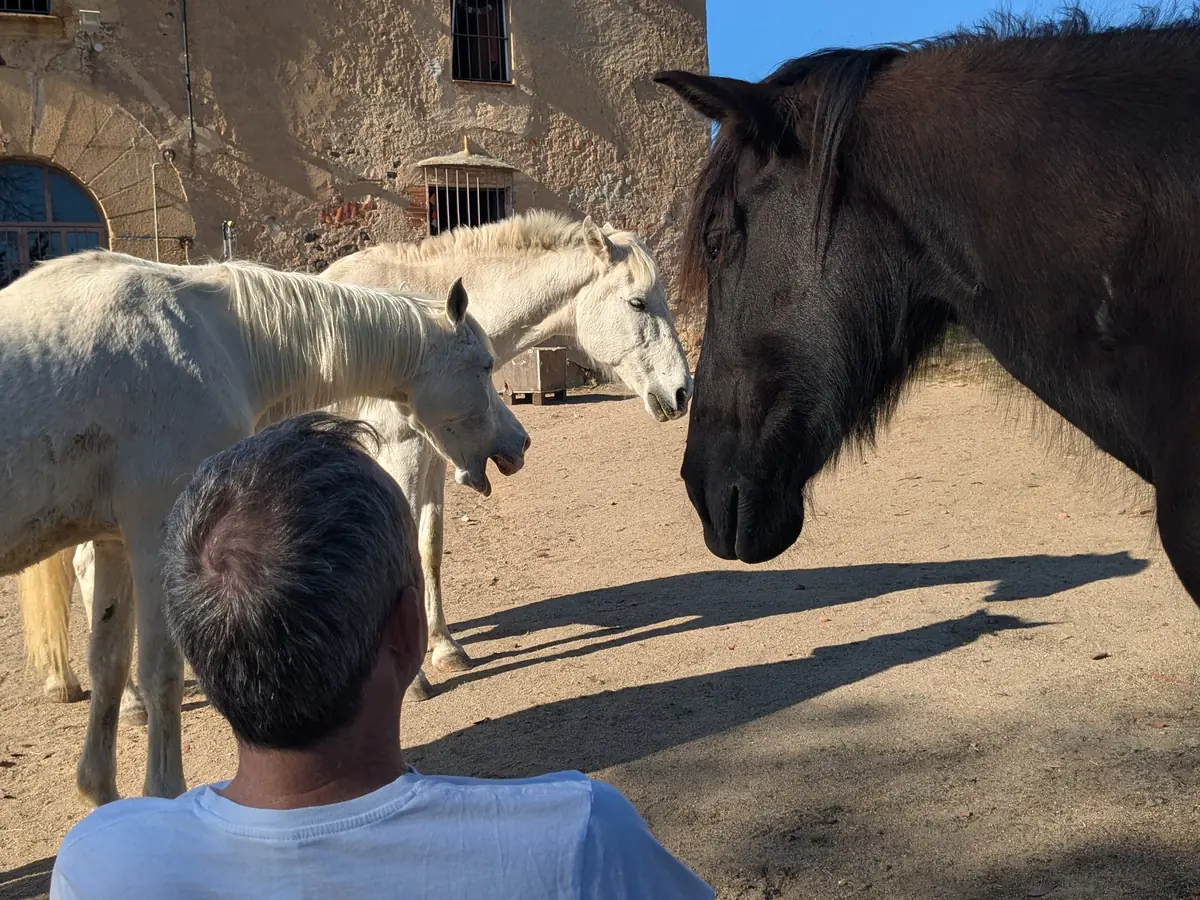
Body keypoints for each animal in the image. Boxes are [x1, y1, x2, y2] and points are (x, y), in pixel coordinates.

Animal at [5, 250, 528, 806]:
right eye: (486, 366)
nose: (520, 441)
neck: (215, 341)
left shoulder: (114, 543)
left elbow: (107, 665)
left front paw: (100, 794)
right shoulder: (153, 536)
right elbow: (161, 674)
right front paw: (164, 793)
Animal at [57, 209, 693, 704]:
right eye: (638, 302)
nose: (683, 392)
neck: (419, 336)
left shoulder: (433, 459)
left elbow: (429, 546)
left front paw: (444, 648)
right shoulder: (401, 455)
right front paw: (415, 680)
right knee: (89, 570)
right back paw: (131, 700)